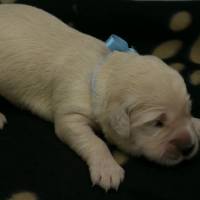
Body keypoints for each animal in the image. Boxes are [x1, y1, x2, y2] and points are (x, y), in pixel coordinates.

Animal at [0, 3, 200, 190]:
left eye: (187, 112)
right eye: (157, 123)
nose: (189, 147)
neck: (101, 70)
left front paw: (196, 122)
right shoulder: (70, 116)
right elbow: (95, 142)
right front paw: (107, 169)